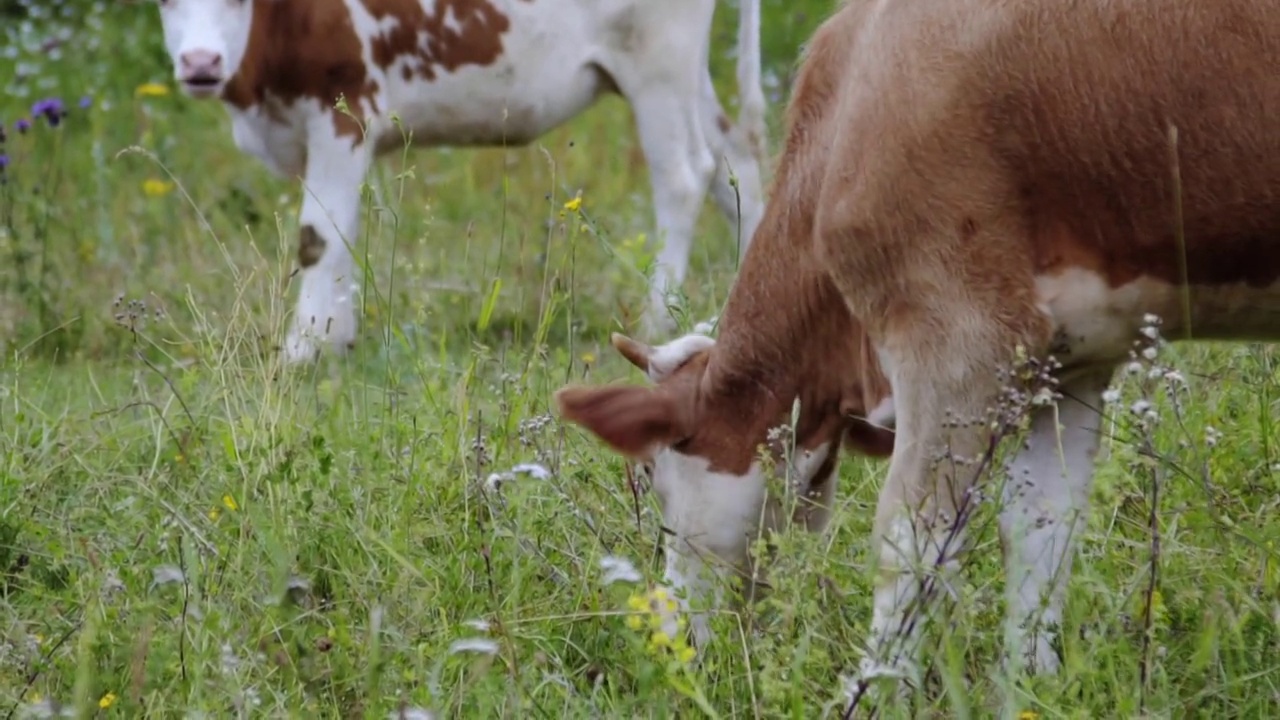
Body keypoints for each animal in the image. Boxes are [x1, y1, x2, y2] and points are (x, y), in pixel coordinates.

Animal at [149, 0, 768, 361]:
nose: (201, 62)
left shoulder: (344, 106)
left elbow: (318, 235)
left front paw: (304, 348)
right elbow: (343, 232)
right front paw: (336, 335)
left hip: (657, 59)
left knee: (684, 175)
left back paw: (658, 316)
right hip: (682, 72)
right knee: (736, 164)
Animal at [555, 0, 1280, 691]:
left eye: (655, 482)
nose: (670, 643)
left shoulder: (958, 330)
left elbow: (910, 543)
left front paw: (875, 693)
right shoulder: (1071, 362)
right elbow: (1042, 529)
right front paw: (1029, 686)